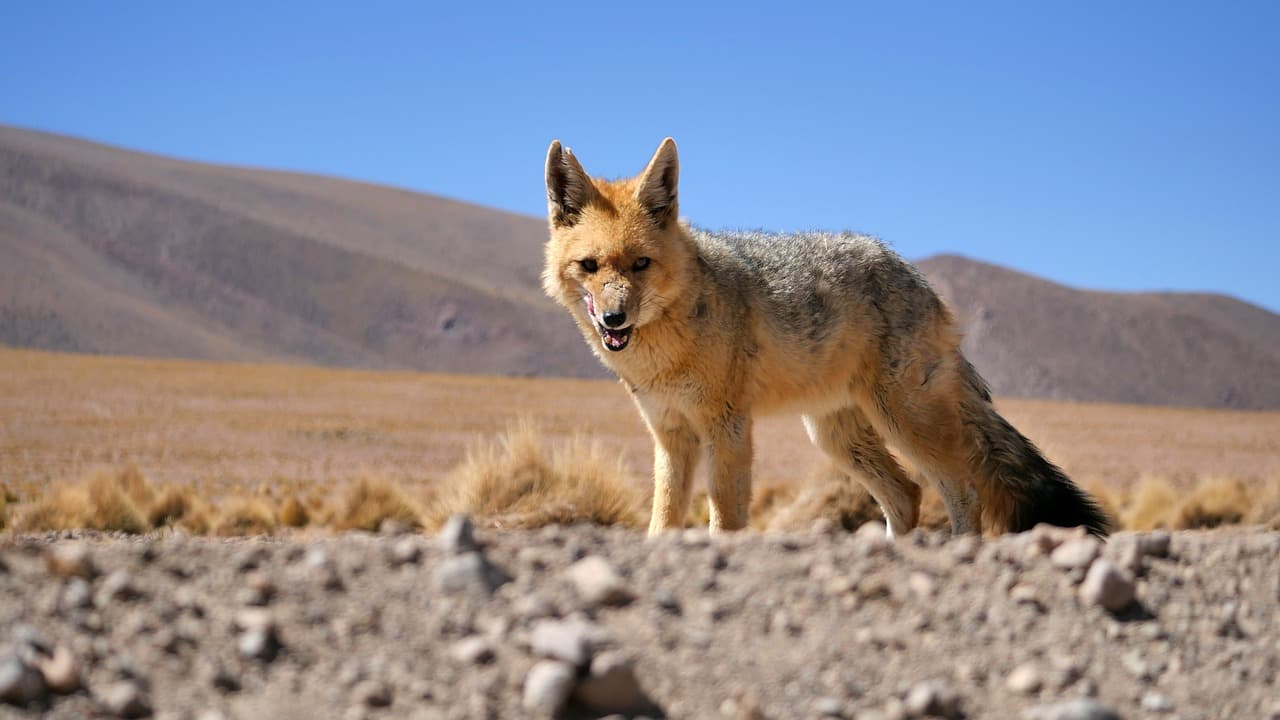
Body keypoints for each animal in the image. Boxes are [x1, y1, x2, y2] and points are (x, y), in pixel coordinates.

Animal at [542, 137, 1110, 538]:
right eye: (590, 267)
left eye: (641, 265)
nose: (614, 319)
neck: (663, 352)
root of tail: (917, 276)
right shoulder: (670, 433)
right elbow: (661, 524)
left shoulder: (727, 428)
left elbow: (725, 520)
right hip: (837, 436)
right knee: (906, 496)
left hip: (905, 422)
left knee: (962, 492)